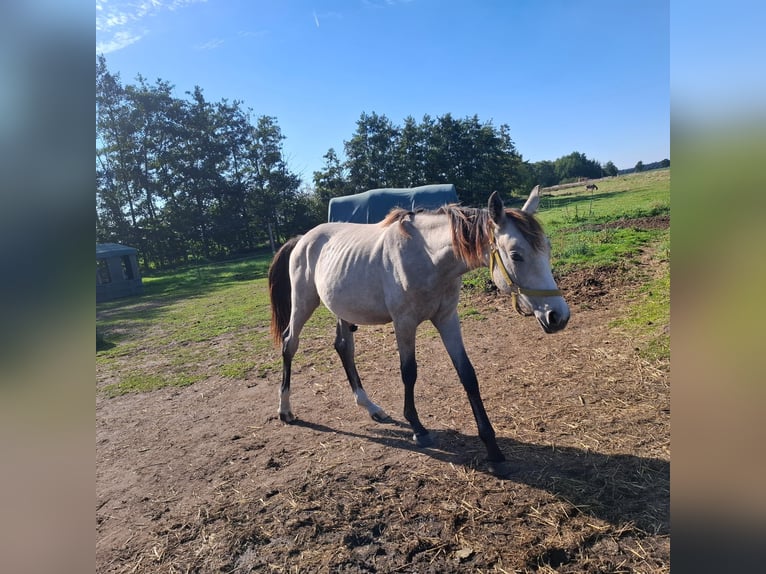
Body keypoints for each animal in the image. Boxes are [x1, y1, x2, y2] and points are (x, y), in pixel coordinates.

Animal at [268, 186, 570, 470]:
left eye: (547, 249)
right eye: (516, 255)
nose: (558, 316)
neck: (428, 257)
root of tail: (302, 239)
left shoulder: (447, 318)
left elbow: (467, 375)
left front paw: (493, 449)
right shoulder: (404, 323)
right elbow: (409, 373)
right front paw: (418, 428)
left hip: (342, 309)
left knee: (344, 348)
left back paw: (372, 408)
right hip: (303, 303)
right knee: (289, 345)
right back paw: (285, 411)